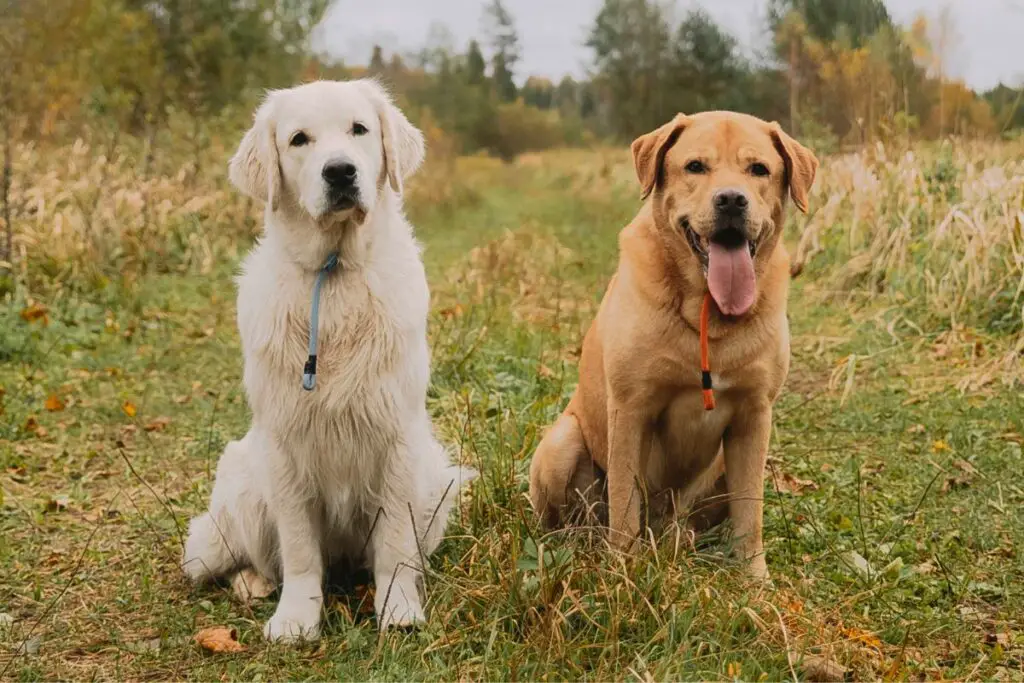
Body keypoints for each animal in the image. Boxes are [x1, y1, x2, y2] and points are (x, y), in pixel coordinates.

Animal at [180, 78, 475, 643]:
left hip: (438, 480)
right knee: (240, 557)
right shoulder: (284, 445)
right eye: (299, 139)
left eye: (359, 129)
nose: (340, 171)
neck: (335, 276)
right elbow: (297, 550)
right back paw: (252, 583)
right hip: (238, 488)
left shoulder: (398, 439)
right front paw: (296, 618)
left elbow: (396, 544)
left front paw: (399, 607)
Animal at [528, 111, 815, 577]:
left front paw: (755, 579)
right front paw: (623, 571)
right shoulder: (631, 409)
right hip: (562, 442)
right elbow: (625, 503)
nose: (731, 200)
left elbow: (750, 511)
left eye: (759, 169)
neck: (707, 313)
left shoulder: (754, 417)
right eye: (695, 166)